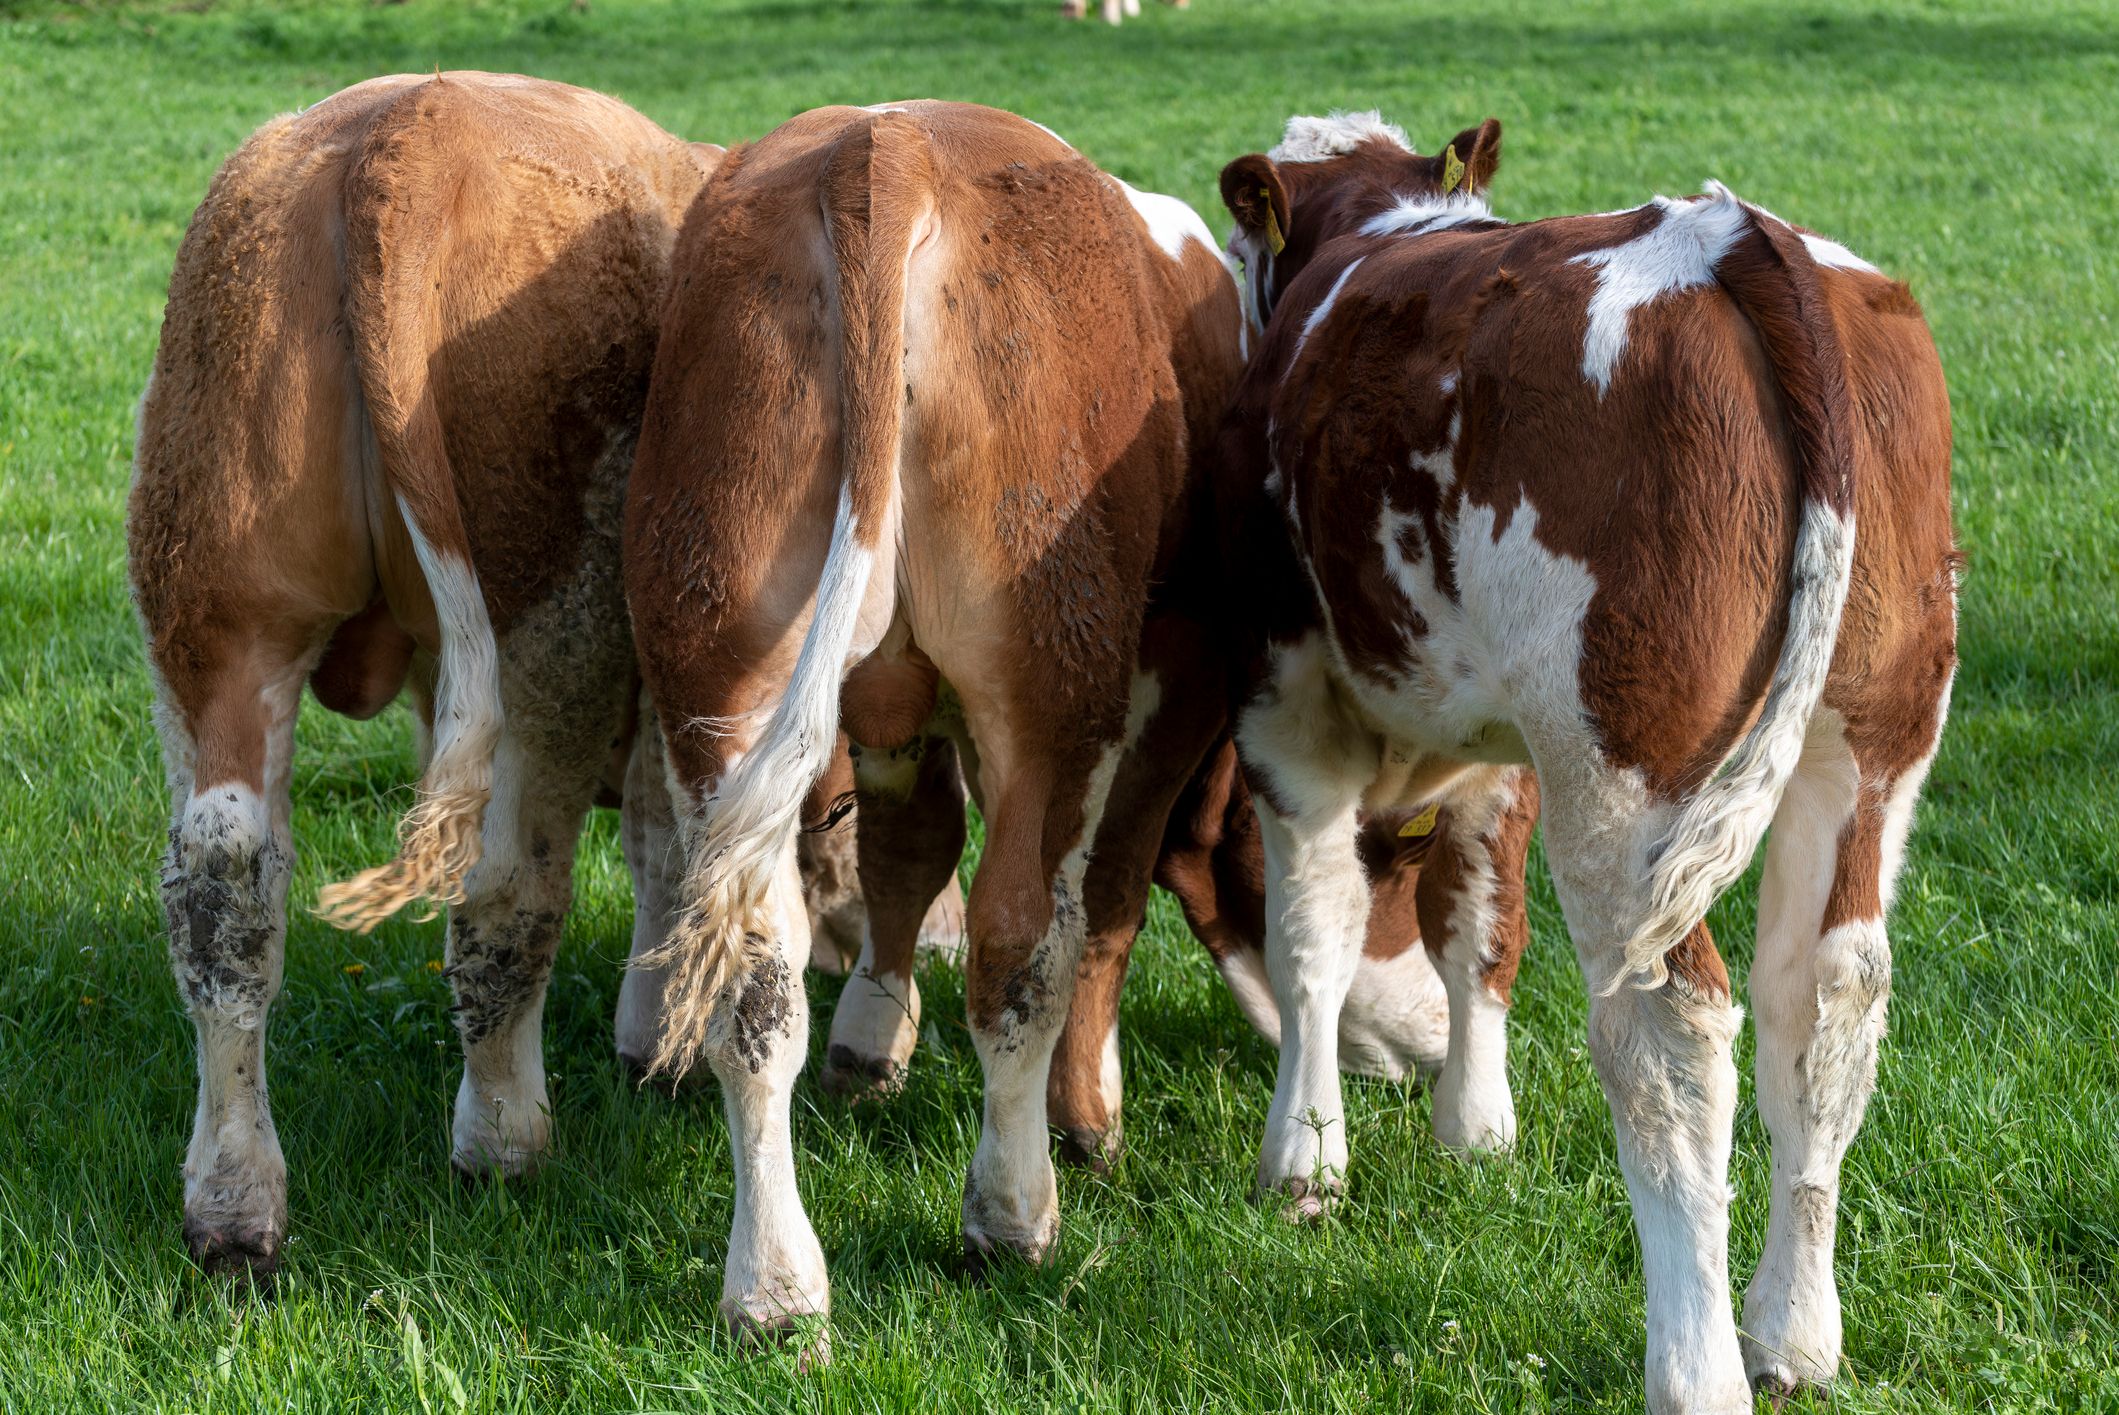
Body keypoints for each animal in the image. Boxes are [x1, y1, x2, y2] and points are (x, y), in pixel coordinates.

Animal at [128, 72, 722, 1277]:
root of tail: (406, 132)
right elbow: (659, 838)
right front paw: (654, 1037)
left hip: (213, 611)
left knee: (222, 884)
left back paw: (233, 1204)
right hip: (549, 620)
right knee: (506, 885)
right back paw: (501, 1141)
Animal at [1212, 111, 1956, 1410]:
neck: (1373, 233)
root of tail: (1735, 233)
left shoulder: (1285, 702)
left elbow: (1310, 938)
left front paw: (1302, 1163)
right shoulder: (1505, 750)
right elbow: (1477, 924)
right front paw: (1473, 1128)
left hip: (1628, 777)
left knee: (1666, 1032)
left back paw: (1696, 1365)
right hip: (1868, 739)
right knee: (1827, 995)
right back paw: (1793, 1327)